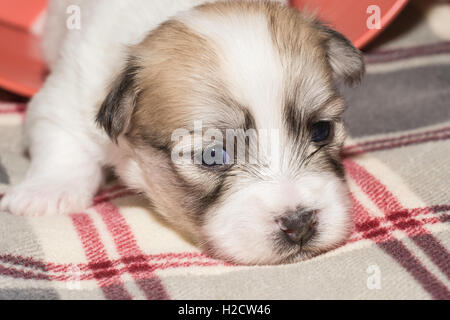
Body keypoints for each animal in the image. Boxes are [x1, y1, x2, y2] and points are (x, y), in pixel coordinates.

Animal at [0, 0, 364, 264]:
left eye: (321, 131)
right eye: (213, 155)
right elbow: (62, 143)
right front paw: (48, 192)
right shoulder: (63, 100)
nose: (300, 224)